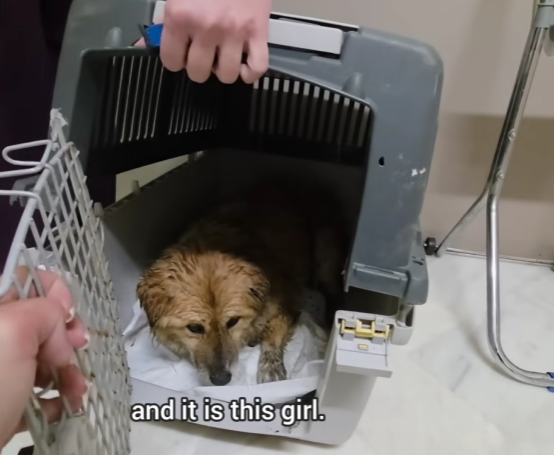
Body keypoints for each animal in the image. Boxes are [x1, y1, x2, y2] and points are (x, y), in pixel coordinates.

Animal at [136, 182, 347, 386]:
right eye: (194, 328)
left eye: (233, 321)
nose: (221, 380)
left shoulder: (287, 302)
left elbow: (273, 336)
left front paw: (271, 369)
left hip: (325, 249)